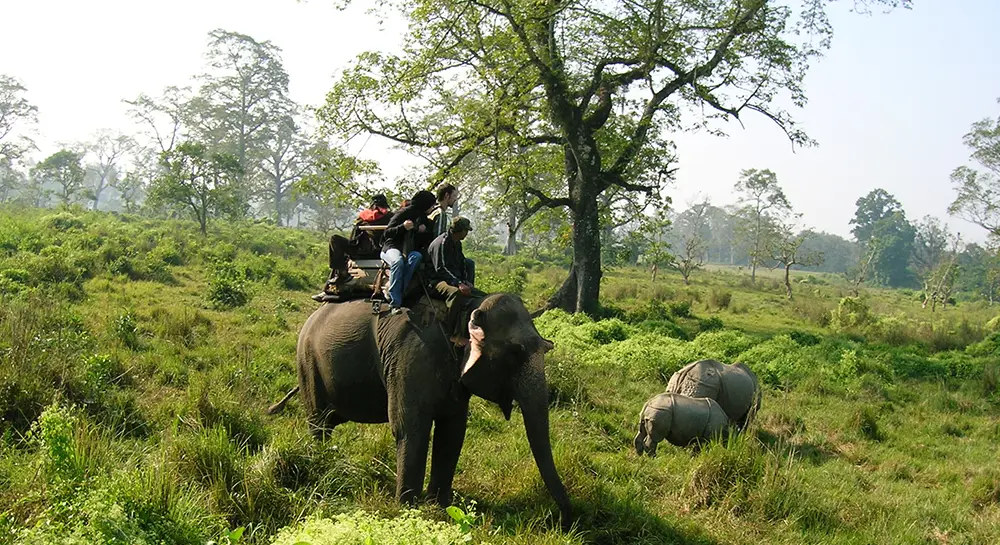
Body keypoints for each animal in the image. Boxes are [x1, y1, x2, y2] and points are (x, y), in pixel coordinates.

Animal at [266, 293, 572, 526]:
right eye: (516, 352)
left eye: (546, 347)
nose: (567, 519)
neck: (466, 308)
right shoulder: (411, 356)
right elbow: (409, 427)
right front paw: (407, 509)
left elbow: (453, 431)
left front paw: (439, 506)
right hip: (307, 364)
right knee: (318, 422)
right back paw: (321, 465)